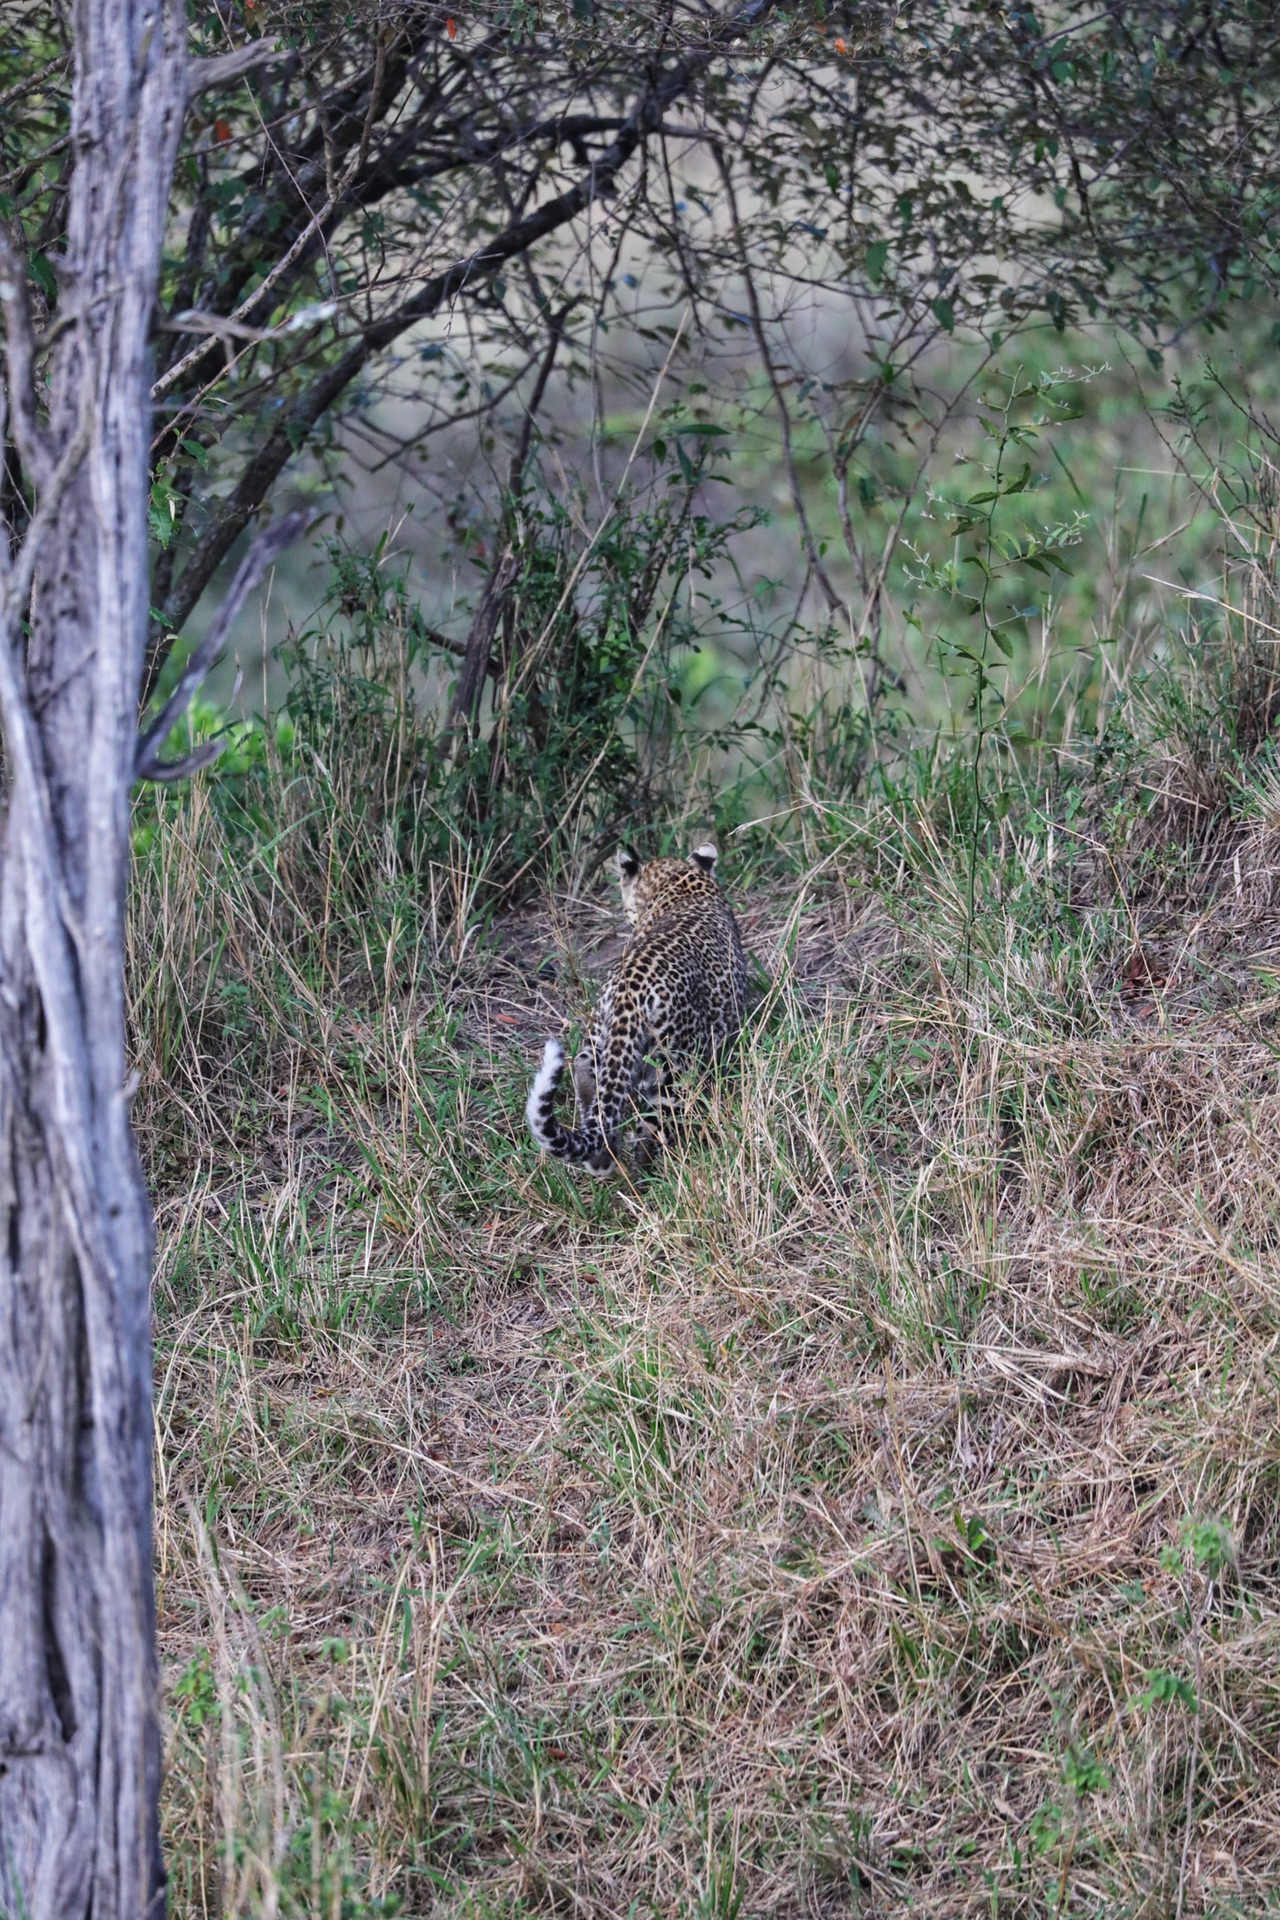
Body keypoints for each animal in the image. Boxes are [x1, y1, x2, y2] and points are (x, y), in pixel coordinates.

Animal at [529, 844, 752, 1175]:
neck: (681, 886)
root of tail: (631, 989)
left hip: (602, 1034)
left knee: (588, 1075)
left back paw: (602, 1158)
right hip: (673, 1065)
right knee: (653, 1127)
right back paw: (658, 1172)